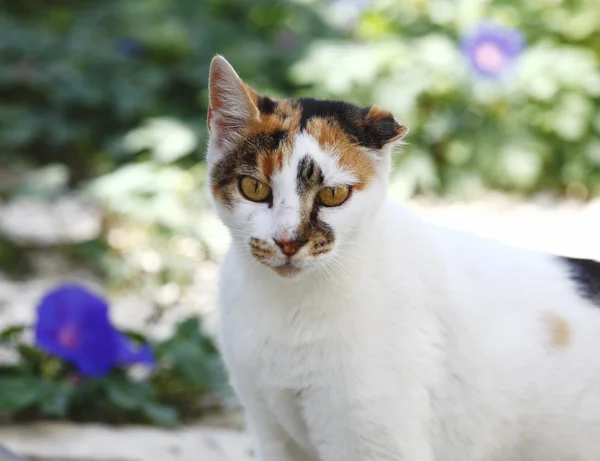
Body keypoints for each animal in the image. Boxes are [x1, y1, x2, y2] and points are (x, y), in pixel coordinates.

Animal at [205, 55, 600, 460]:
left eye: (333, 194)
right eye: (254, 187)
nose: (287, 241)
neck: (286, 307)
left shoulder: (375, 440)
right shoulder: (271, 431)